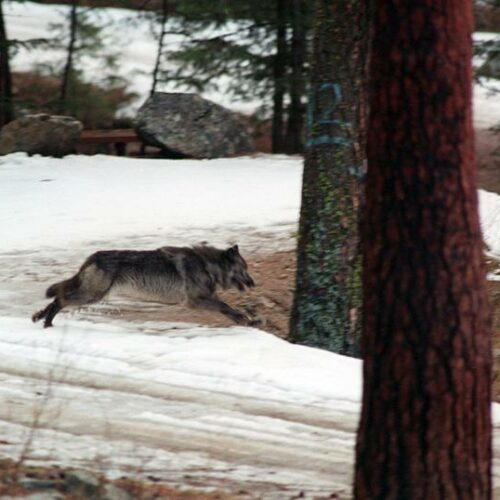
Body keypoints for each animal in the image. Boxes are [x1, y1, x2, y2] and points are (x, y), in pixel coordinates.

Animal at [32, 245, 254, 330]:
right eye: (244, 269)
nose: (253, 283)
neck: (206, 265)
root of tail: (93, 257)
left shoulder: (206, 299)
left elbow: (227, 310)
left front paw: (246, 320)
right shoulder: (196, 301)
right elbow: (226, 306)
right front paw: (247, 319)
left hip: (91, 294)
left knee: (58, 297)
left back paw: (40, 317)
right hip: (91, 296)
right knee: (60, 299)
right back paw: (47, 322)